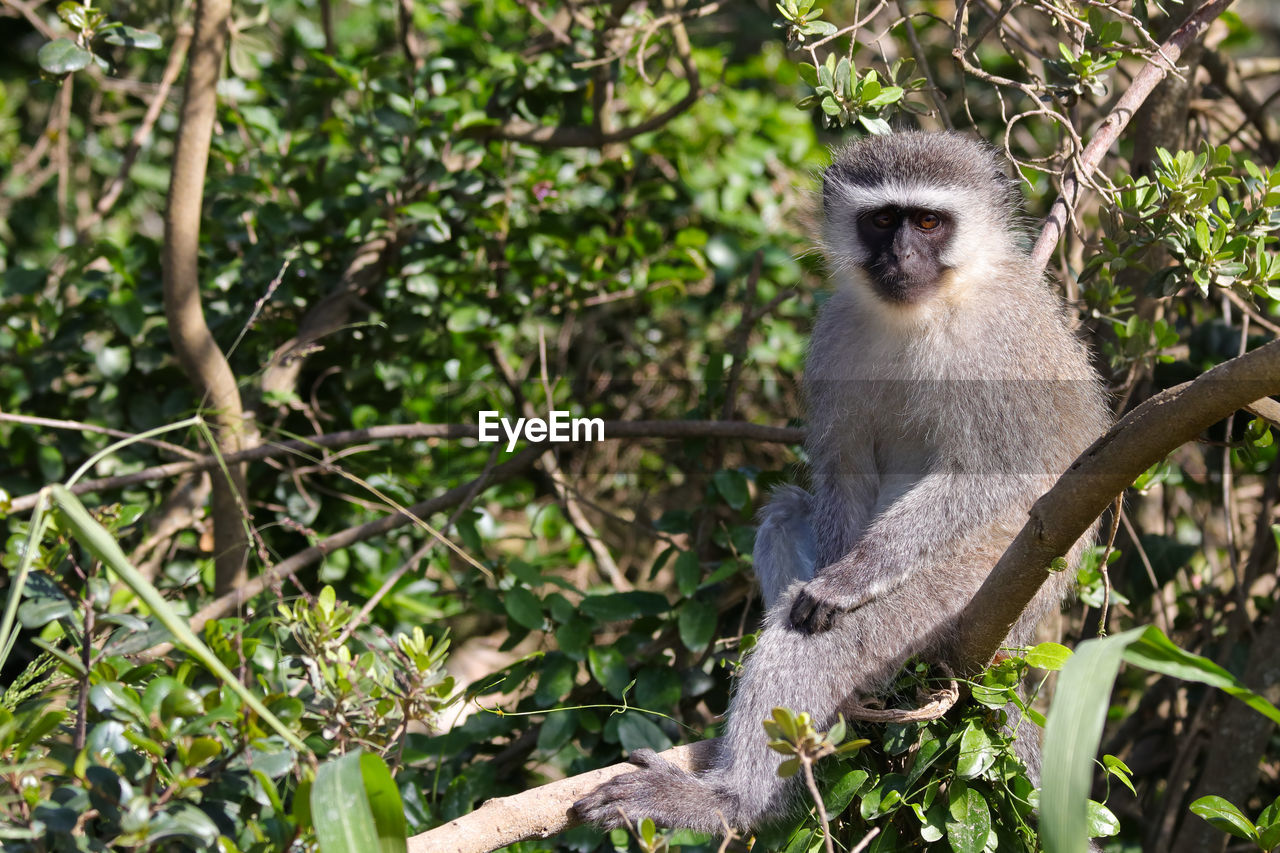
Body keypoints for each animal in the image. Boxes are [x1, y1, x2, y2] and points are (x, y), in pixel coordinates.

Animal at [573, 131, 1111, 829]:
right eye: (882, 221)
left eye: (928, 222)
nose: (901, 255)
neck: (929, 308)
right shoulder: (834, 336)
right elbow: (843, 466)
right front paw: (833, 565)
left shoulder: (998, 345)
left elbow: (1005, 470)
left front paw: (852, 577)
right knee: (784, 520)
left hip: (969, 587)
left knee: (822, 638)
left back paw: (729, 799)